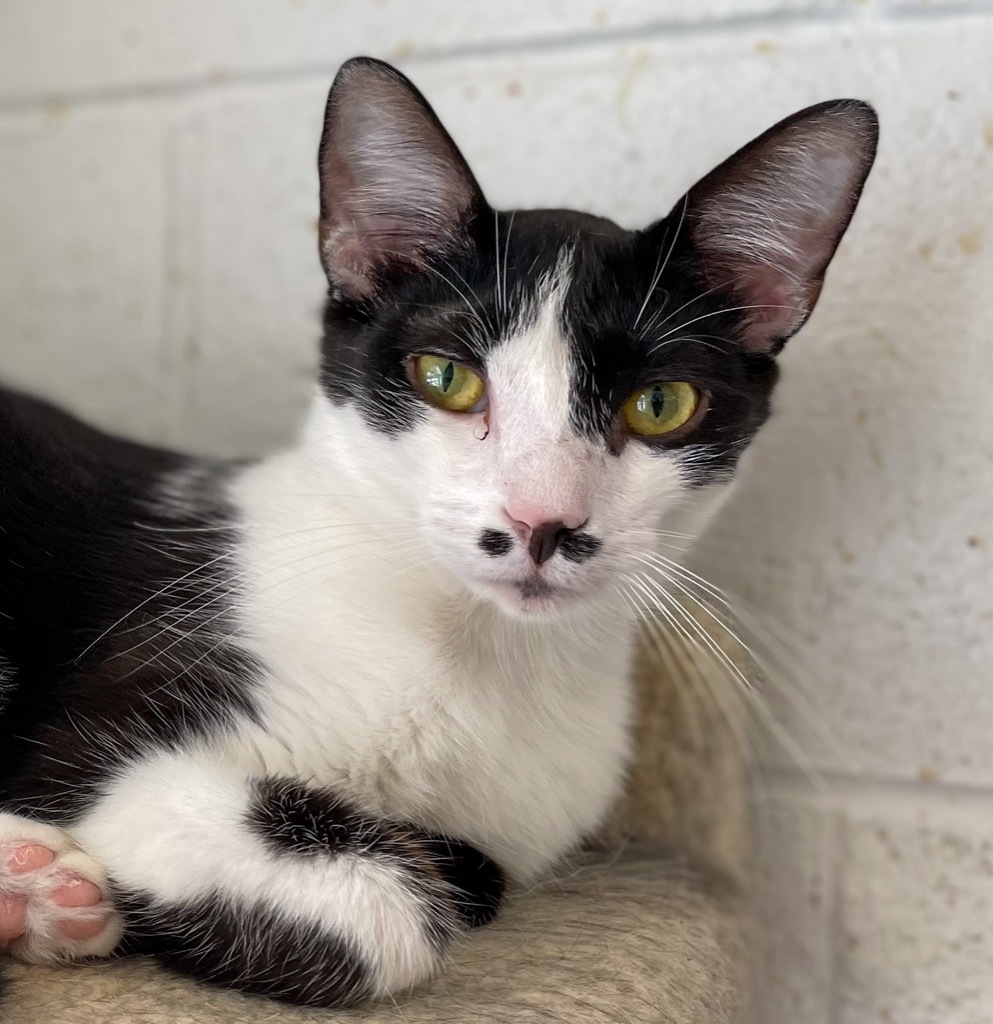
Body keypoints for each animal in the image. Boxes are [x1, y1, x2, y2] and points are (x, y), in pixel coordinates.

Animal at [0, 58, 876, 1007]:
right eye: (446, 377)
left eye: (660, 404)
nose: (540, 520)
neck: (473, 659)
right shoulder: (115, 737)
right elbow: (392, 910)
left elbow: (462, 879)